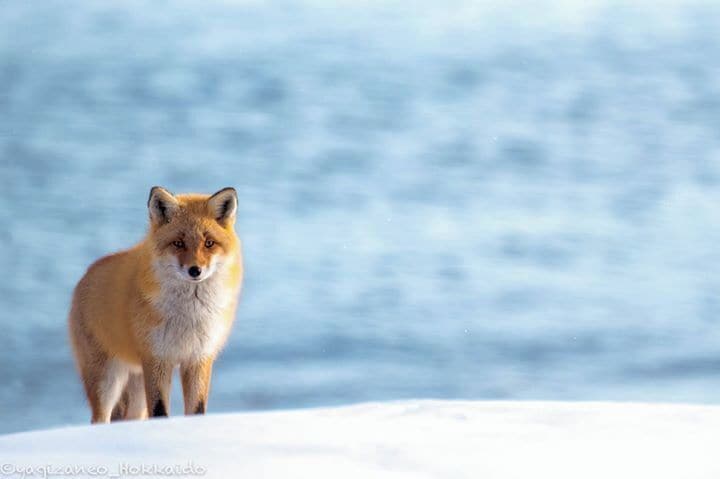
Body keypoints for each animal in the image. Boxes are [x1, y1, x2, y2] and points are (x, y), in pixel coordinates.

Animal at [68, 186, 243, 423]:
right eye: (178, 243)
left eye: (209, 243)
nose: (195, 270)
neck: (189, 315)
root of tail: (84, 276)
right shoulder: (158, 358)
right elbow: (160, 411)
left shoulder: (198, 358)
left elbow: (197, 410)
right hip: (107, 381)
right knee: (99, 418)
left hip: (136, 390)